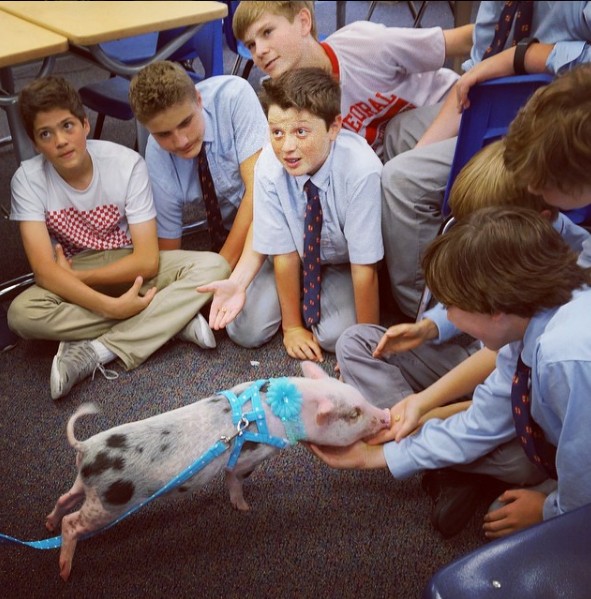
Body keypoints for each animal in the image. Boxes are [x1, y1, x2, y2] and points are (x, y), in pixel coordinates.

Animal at [45, 361, 390, 581]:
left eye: (359, 397)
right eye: (354, 414)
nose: (386, 414)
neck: (280, 409)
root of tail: (87, 449)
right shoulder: (248, 458)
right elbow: (234, 479)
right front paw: (245, 508)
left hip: (86, 489)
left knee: (64, 498)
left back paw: (48, 524)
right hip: (107, 504)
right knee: (71, 523)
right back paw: (64, 572)